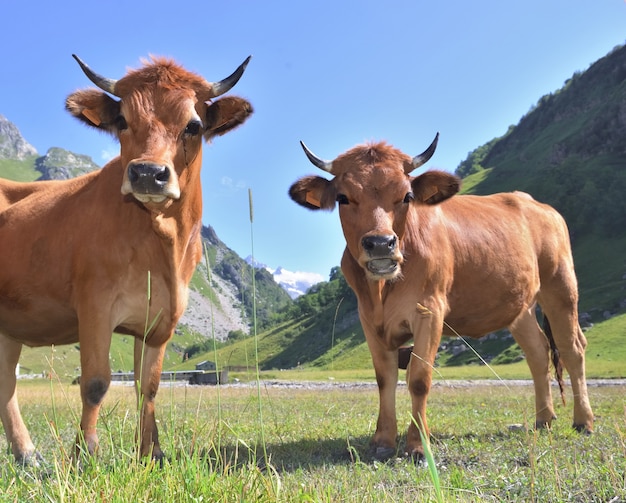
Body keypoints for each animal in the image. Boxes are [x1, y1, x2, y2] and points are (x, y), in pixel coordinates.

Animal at [1, 56, 254, 464]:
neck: (161, 247)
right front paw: (84, 454)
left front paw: (152, 452)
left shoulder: (162, 319)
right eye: (122, 120)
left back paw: (26, 454)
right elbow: (95, 382)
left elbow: (148, 387)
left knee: (6, 381)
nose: (148, 173)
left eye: (194, 125)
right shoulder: (95, 305)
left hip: (10, 325)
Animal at [288, 135, 588, 460]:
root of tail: (539, 205)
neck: (382, 292)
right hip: (520, 306)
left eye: (406, 196)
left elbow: (419, 379)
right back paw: (543, 419)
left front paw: (419, 445)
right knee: (538, 352)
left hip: (560, 285)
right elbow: (384, 379)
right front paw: (382, 441)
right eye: (343, 197)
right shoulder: (368, 319)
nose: (380, 244)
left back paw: (583, 421)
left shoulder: (430, 310)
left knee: (572, 349)